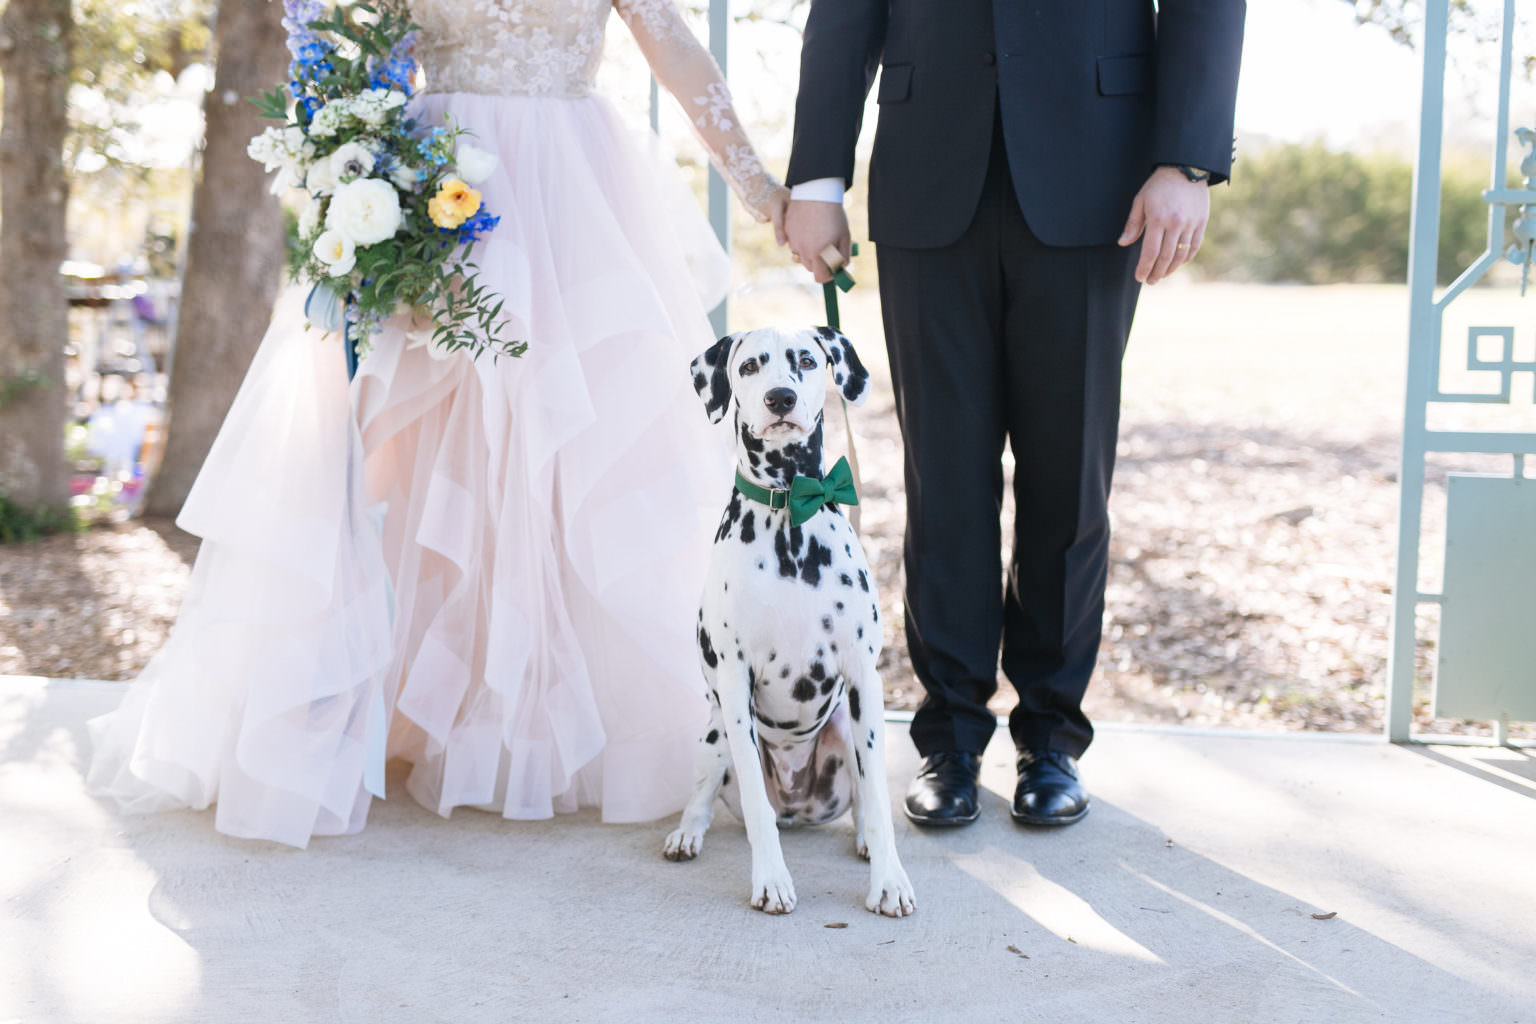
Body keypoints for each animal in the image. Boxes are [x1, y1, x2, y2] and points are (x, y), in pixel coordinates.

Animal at [666, 327, 915, 921]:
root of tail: (797, 804)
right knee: (707, 793)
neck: (789, 515)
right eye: (750, 366)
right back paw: (687, 833)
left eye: (805, 359)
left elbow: (878, 800)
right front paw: (772, 882)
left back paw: (864, 838)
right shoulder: (735, 686)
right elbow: (757, 811)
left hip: (846, 726)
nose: (781, 398)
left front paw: (889, 882)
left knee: (862, 799)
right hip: (716, 733)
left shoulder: (864, 680)